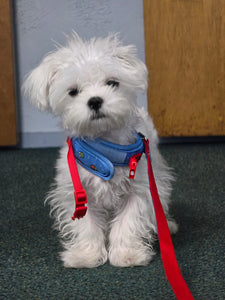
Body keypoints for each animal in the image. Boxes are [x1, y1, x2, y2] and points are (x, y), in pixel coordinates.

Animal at [23, 32, 178, 268]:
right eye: (73, 92)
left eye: (112, 83)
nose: (95, 101)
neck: (105, 150)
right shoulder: (78, 193)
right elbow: (87, 226)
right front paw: (86, 256)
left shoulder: (138, 189)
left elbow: (128, 222)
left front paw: (127, 255)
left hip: (157, 172)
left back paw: (165, 225)